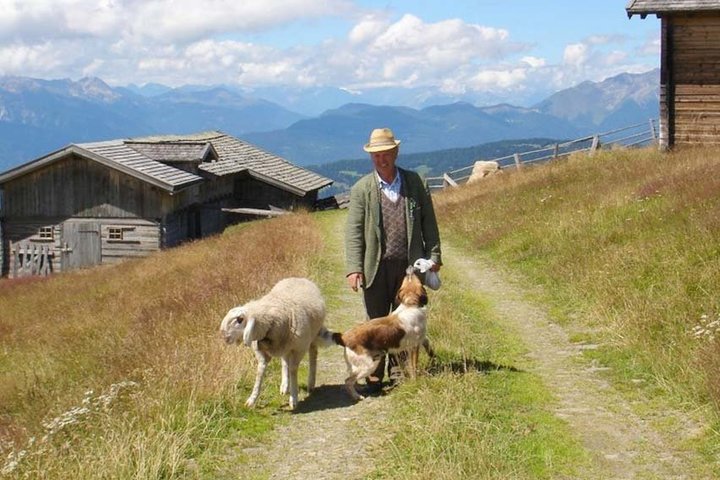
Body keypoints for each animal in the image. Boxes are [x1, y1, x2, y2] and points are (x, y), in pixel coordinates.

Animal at [221, 278, 328, 408]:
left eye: (239, 320)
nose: (223, 335)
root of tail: (297, 278)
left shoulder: (299, 349)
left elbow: (293, 370)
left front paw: (294, 398)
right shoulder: (261, 352)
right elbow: (260, 372)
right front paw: (252, 399)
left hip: (311, 336)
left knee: (313, 354)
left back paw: (310, 383)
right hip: (285, 346)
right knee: (285, 362)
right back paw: (284, 386)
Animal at [330, 266, 434, 402]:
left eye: (406, 278)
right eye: (410, 277)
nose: (410, 268)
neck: (409, 304)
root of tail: (344, 337)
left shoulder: (418, 340)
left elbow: (427, 343)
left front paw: (431, 353)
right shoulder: (414, 347)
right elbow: (413, 368)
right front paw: (415, 382)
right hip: (368, 365)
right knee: (348, 381)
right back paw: (357, 396)